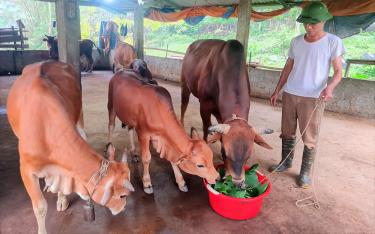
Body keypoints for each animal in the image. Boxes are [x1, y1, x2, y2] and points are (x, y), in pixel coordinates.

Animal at [6, 60, 135, 234]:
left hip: (79, 116)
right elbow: (40, 207)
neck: (45, 127)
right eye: (123, 196)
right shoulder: (26, 169)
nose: (122, 209)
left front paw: (61, 199)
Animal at [180, 39, 274, 186]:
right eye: (225, 153)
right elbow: (206, 128)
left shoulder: (222, 114)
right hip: (185, 85)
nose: (237, 183)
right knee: (183, 106)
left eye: (248, 157)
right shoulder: (204, 106)